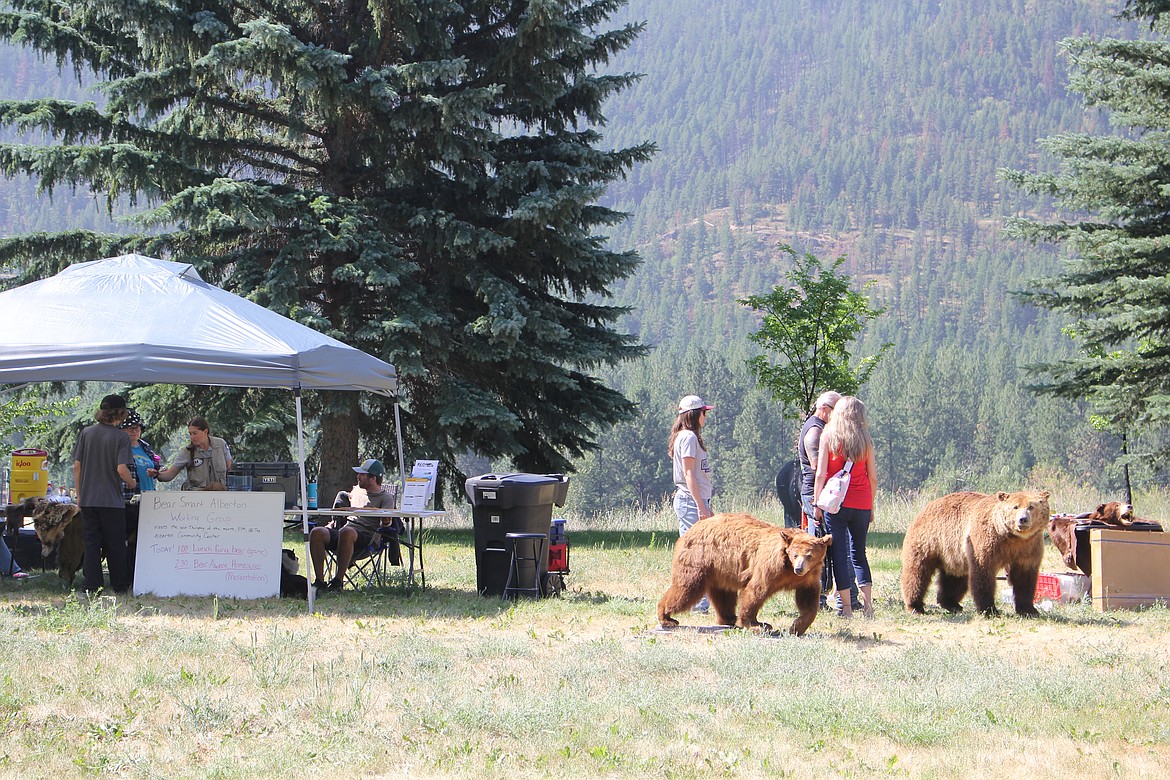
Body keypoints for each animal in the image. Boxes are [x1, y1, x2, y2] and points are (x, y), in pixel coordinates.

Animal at [659, 512, 833, 636]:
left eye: (809, 555)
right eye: (795, 554)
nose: (799, 569)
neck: (788, 570)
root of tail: (689, 530)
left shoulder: (809, 578)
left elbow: (809, 601)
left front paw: (796, 627)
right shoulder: (769, 568)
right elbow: (755, 592)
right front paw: (758, 625)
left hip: (720, 570)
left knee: (723, 594)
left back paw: (729, 618)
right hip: (699, 559)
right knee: (687, 588)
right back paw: (666, 618)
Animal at [903, 493, 1053, 617]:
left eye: (1031, 506)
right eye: (1015, 507)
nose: (1023, 519)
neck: (1013, 538)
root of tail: (925, 508)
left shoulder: (1029, 548)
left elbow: (1025, 579)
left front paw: (1029, 610)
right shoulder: (986, 542)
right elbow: (983, 575)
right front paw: (989, 610)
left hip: (954, 554)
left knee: (954, 578)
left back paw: (952, 604)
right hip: (928, 541)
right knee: (917, 572)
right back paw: (915, 606)